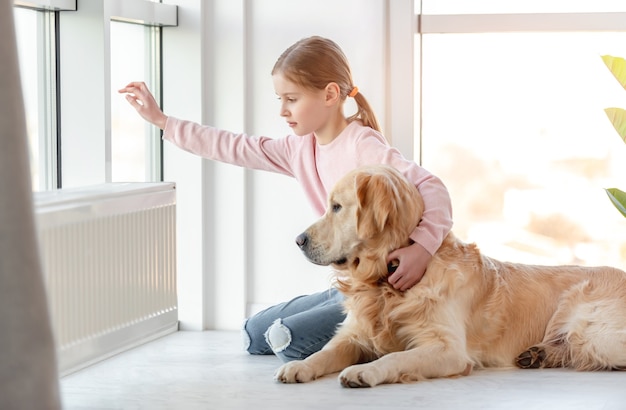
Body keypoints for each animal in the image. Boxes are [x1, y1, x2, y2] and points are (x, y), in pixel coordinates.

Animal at [276, 164, 624, 388]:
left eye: (337, 207)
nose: (298, 240)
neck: (384, 284)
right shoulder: (353, 335)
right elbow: (325, 352)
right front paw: (299, 366)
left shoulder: (448, 349)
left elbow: (397, 357)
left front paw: (366, 372)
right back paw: (538, 354)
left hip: (590, 330)